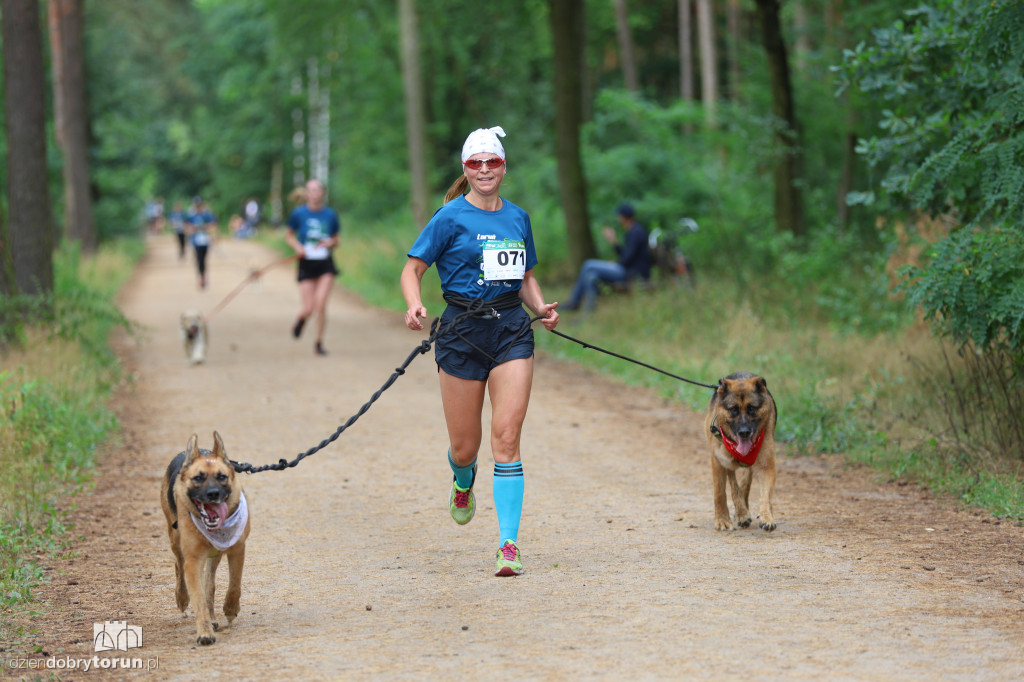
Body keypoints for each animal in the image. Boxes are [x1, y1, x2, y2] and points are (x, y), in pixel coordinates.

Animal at [159, 430, 249, 643]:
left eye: (222, 476)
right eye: (198, 478)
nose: (213, 494)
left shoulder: (238, 549)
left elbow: (234, 584)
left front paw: (230, 610)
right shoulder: (193, 560)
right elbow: (198, 598)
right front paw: (205, 632)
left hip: (215, 555)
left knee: (210, 583)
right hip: (175, 540)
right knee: (179, 565)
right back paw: (182, 598)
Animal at [704, 374, 774, 528]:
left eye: (752, 408)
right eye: (733, 409)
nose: (744, 432)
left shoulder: (766, 466)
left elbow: (765, 495)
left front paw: (767, 517)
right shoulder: (718, 462)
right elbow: (720, 492)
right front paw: (722, 519)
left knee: (746, 481)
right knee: (733, 483)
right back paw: (742, 512)